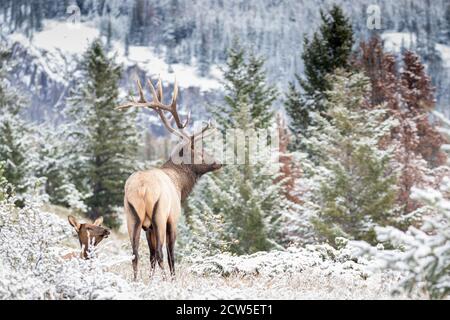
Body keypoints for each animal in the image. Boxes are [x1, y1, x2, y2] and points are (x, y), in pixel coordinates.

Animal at [117, 77, 221, 278]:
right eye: (200, 152)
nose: (219, 162)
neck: (180, 186)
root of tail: (142, 188)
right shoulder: (173, 219)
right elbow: (171, 255)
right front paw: (173, 279)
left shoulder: (147, 227)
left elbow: (149, 256)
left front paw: (150, 279)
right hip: (159, 215)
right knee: (160, 253)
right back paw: (166, 280)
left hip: (131, 216)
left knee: (135, 254)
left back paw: (136, 281)